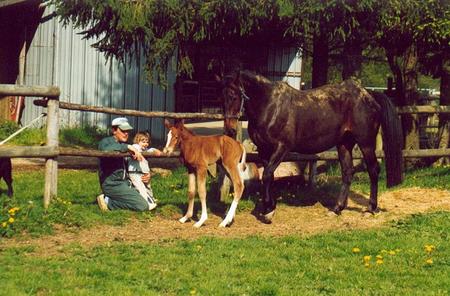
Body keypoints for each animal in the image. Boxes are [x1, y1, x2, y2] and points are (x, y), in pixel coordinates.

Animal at [219, 70, 404, 222]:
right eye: (221, 97)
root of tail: (369, 94)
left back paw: (371, 208)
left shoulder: (281, 148)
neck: (270, 105)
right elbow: (267, 177)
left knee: (373, 170)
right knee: (347, 172)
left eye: (234, 96)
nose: (230, 129)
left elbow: (267, 175)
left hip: (366, 143)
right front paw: (268, 207)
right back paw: (337, 209)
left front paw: (269, 211)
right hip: (344, 144)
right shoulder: (264, 150)